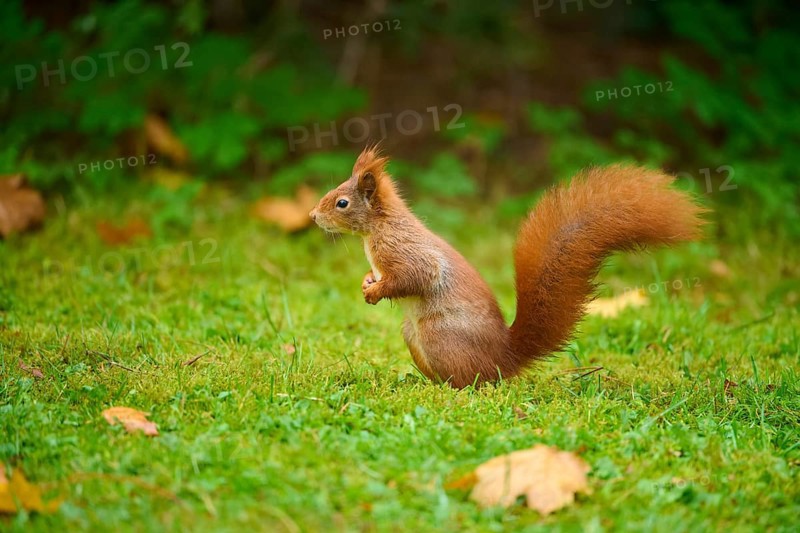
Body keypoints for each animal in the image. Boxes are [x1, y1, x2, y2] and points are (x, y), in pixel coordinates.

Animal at [309, 147, 706, 388]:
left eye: (342, 202)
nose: (312, 216)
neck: (379, 227)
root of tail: (504, 356)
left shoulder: (407, 252)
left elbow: (415, 276)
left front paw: (375, 291)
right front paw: (367, 281)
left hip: (439, 336)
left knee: (473, 382)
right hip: (414, 336)